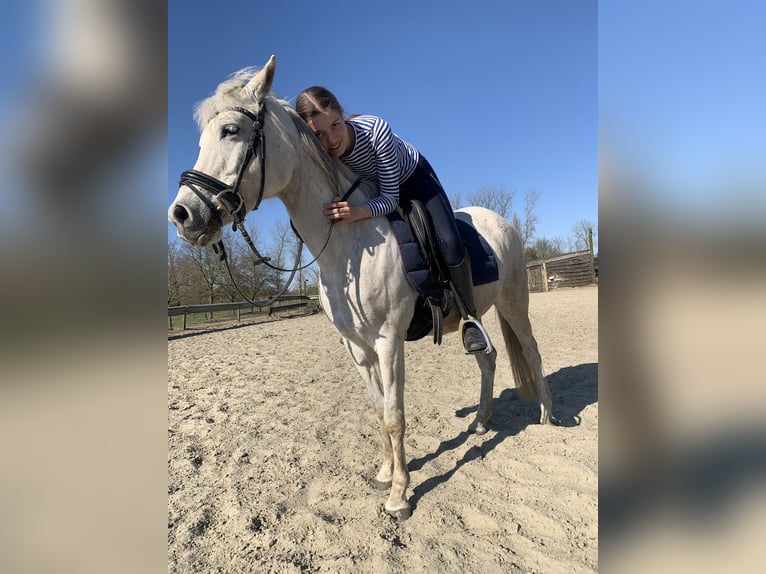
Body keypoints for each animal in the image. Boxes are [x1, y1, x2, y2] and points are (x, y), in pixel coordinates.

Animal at [168, 56, 554, 520]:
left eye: (230, 130)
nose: (183, 215)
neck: (349, 244)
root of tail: (501, 222)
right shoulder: (357, 347)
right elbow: (376, 409)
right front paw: (386, 473)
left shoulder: (389, 341)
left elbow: (394, 414)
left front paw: (400, 496)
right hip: (475, 314)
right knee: (489, 358)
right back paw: (481, 421)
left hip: (515, 304)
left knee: (531, 351)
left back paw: (548, 416)